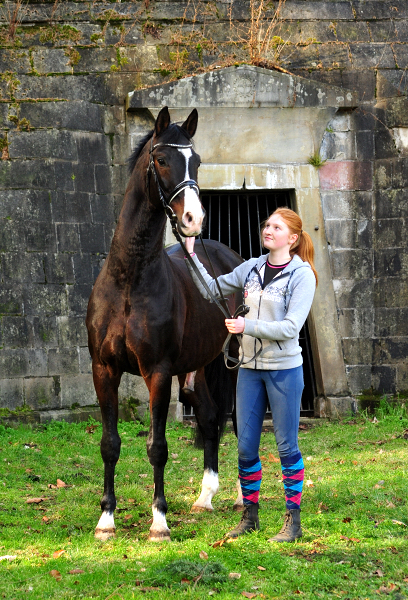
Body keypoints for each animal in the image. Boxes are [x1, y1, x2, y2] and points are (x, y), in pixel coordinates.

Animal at [85, 105, 242, 540]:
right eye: (160, 159)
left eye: (197, 161)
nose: (193, 219)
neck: (130, 278)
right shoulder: (103, 370)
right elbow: (110, 444)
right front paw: (106, 519)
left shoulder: (157, 371)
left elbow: (157, 446)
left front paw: (159, 521)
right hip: (199, 368)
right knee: (209, 417)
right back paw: (205, 497)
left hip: (234, 364)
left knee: (239, 421)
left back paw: (243, 497)